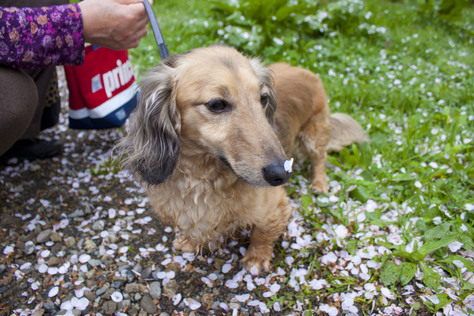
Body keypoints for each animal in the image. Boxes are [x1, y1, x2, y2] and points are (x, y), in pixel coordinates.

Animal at [116, 45, 368, 272]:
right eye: (217, 104)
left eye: (263, 98)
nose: (281, 174)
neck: (203, 177)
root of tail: (302, 69)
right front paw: (190, 242)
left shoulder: (276, 208)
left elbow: (262, 233)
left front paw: (256, 259)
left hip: (314, 134)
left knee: (319, 160)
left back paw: (319, 184)